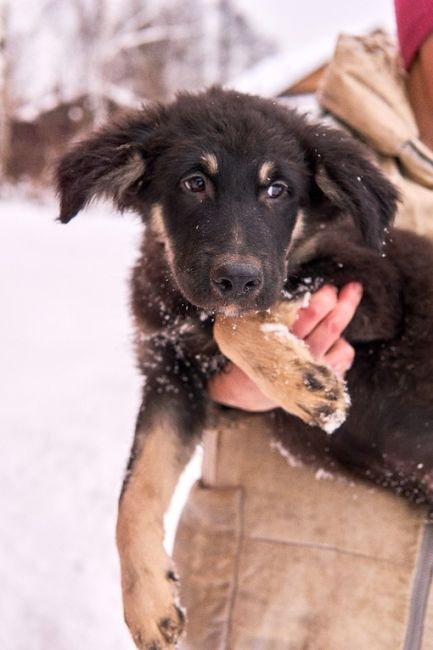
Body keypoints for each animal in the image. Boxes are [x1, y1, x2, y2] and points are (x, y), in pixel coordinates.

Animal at [56, 87, 432, 648]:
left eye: (277, 189)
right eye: (194, 182)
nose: (236, 278)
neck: (185, 306)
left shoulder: (374, 286)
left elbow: (232, 324)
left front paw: (306, 383)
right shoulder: (175, 383)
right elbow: (135, 493)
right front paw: (148, 603)